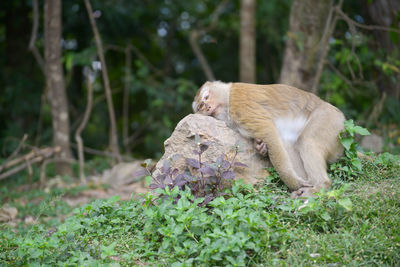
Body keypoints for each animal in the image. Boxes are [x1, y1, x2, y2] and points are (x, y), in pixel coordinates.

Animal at [192, 81, 346, 199]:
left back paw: (321, 185)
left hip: (330, 120)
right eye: (201, 106)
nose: (207, 107)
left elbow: (268, 131)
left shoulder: (240, 105)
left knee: (306, 140)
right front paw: (261, 147)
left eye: (206, 97)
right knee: (288, 142)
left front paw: (295, 183)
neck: (228, 97)